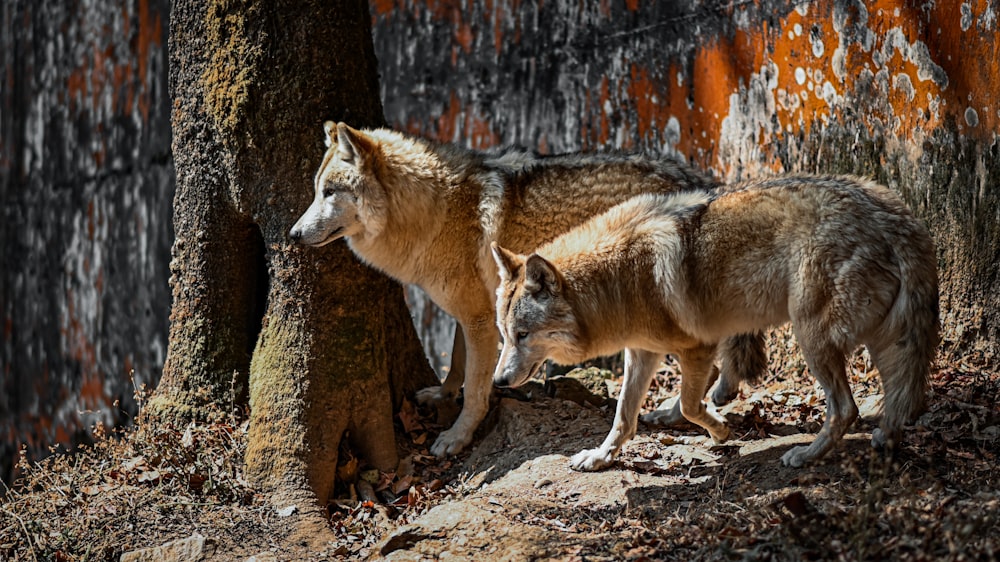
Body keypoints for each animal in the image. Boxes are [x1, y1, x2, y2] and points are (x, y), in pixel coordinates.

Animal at [288, 121, 764, 456]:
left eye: (329, 193)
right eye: (315, 192)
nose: (292, 235)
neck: (435, 210)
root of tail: (702, 181)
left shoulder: (479, 320)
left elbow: (477, 388)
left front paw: (457, 437)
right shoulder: (474, 315)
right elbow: (457, 366)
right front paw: (441, 393)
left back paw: (675, 412)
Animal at [496, 175, 940, 468]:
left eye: (523, 334)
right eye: (505, 336)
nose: (498, 382)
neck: (621, 277)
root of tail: (897, 217)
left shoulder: (698, 347)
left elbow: (692, 404)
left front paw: (721, 432)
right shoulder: (641, 353)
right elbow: (624, 414)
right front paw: (601, 456)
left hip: (811, 338)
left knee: (845, 408)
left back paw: (806, 454)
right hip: (883, 342)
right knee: (898, 397)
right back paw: (885, 439)